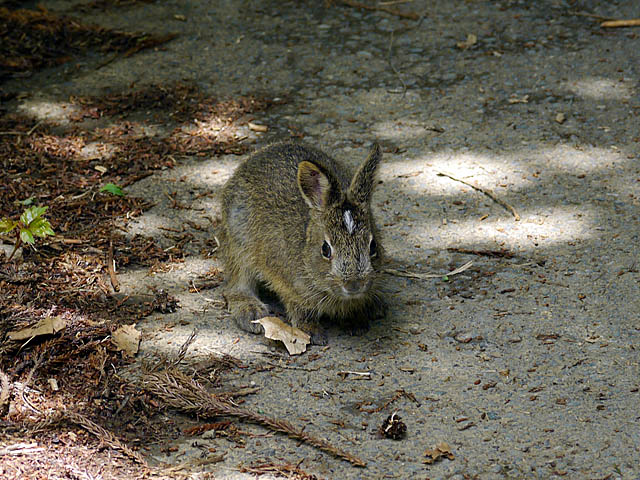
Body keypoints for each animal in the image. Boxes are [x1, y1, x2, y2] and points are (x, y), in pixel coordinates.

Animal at [218, 140, 388, 344]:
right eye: (325, 249)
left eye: (373, 246)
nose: (354, 285)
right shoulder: (288, 284)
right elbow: (299, 307)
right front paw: (312, 332)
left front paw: (356, 322)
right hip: (239, 242)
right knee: (236, 284)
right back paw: (251, 313)